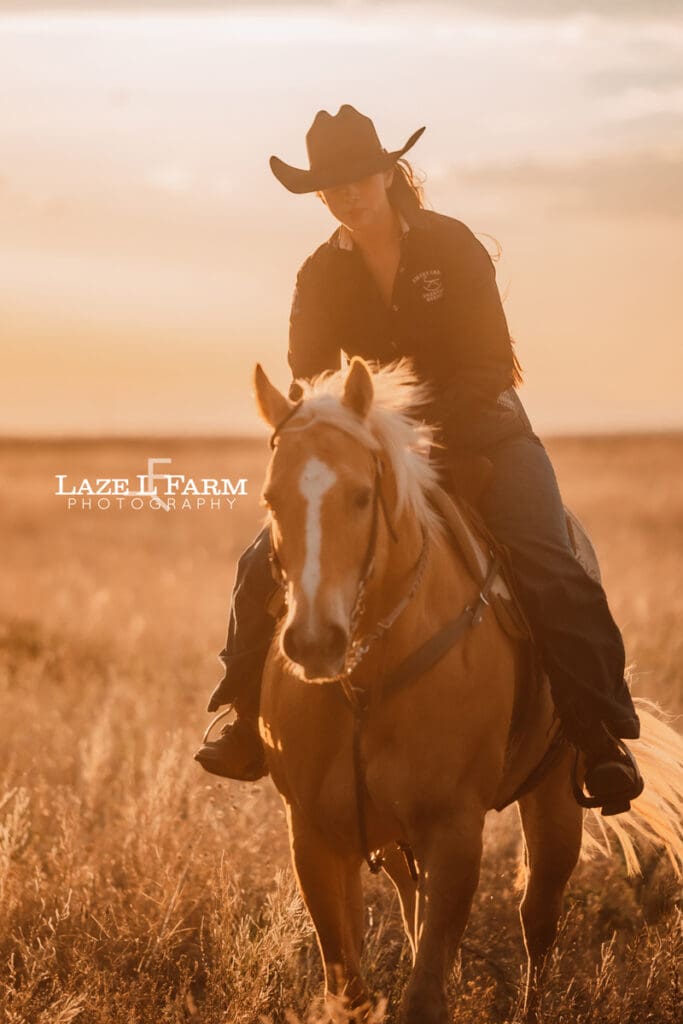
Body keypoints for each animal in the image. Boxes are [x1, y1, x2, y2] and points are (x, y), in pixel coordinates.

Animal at [251, 355, 683, 1024]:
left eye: (362, 495)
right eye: (272, 499)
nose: (315, 640)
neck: (369, 678)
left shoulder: (455, 831)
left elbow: (425, 993)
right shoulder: (315, 839)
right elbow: (350, 988)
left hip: (556, 799)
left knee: (538, 918)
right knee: (415, 912)